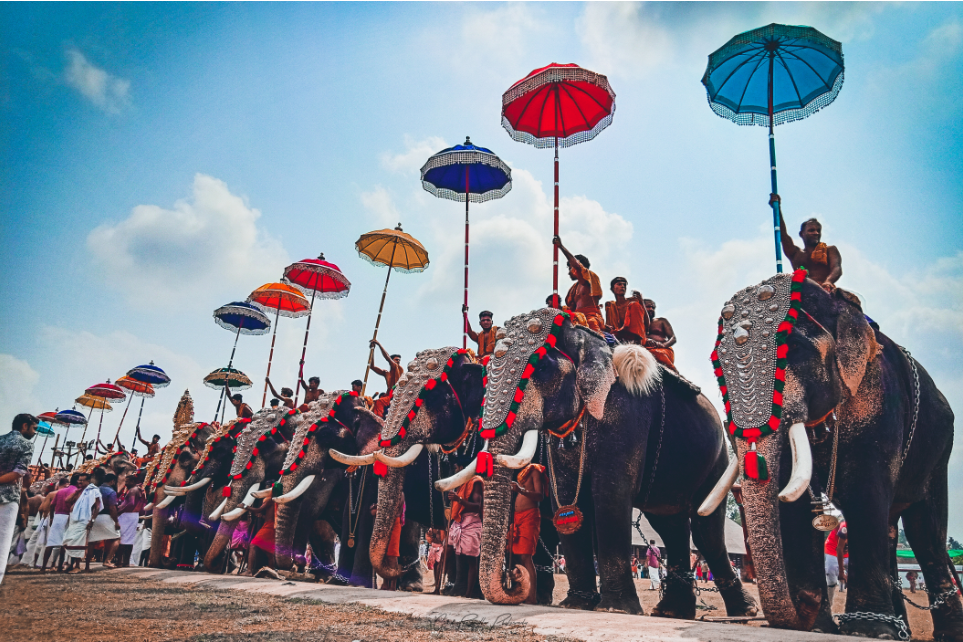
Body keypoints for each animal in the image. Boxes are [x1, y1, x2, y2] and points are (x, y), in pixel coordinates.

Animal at [436, 308, 760, 616]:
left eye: (542, 368)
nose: (513, 576)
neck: (583, 336)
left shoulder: (624, 414)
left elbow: (610, 494)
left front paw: (615, 609)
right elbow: (565, 497)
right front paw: (576, 605)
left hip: (717, 457)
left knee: (705, 528)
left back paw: (743, 610)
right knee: (669, 522)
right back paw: (672, 611)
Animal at [700, 268, 963, 636]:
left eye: (794, 349)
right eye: (717, 366)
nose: (802, 607)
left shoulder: (880, 403)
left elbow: (865, 497)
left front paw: (866, 631)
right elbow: (794, 509)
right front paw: (821, 627)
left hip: (939, 449)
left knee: (926, 532)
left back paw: (935, 632)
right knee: (893, 529)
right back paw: (899, 630)